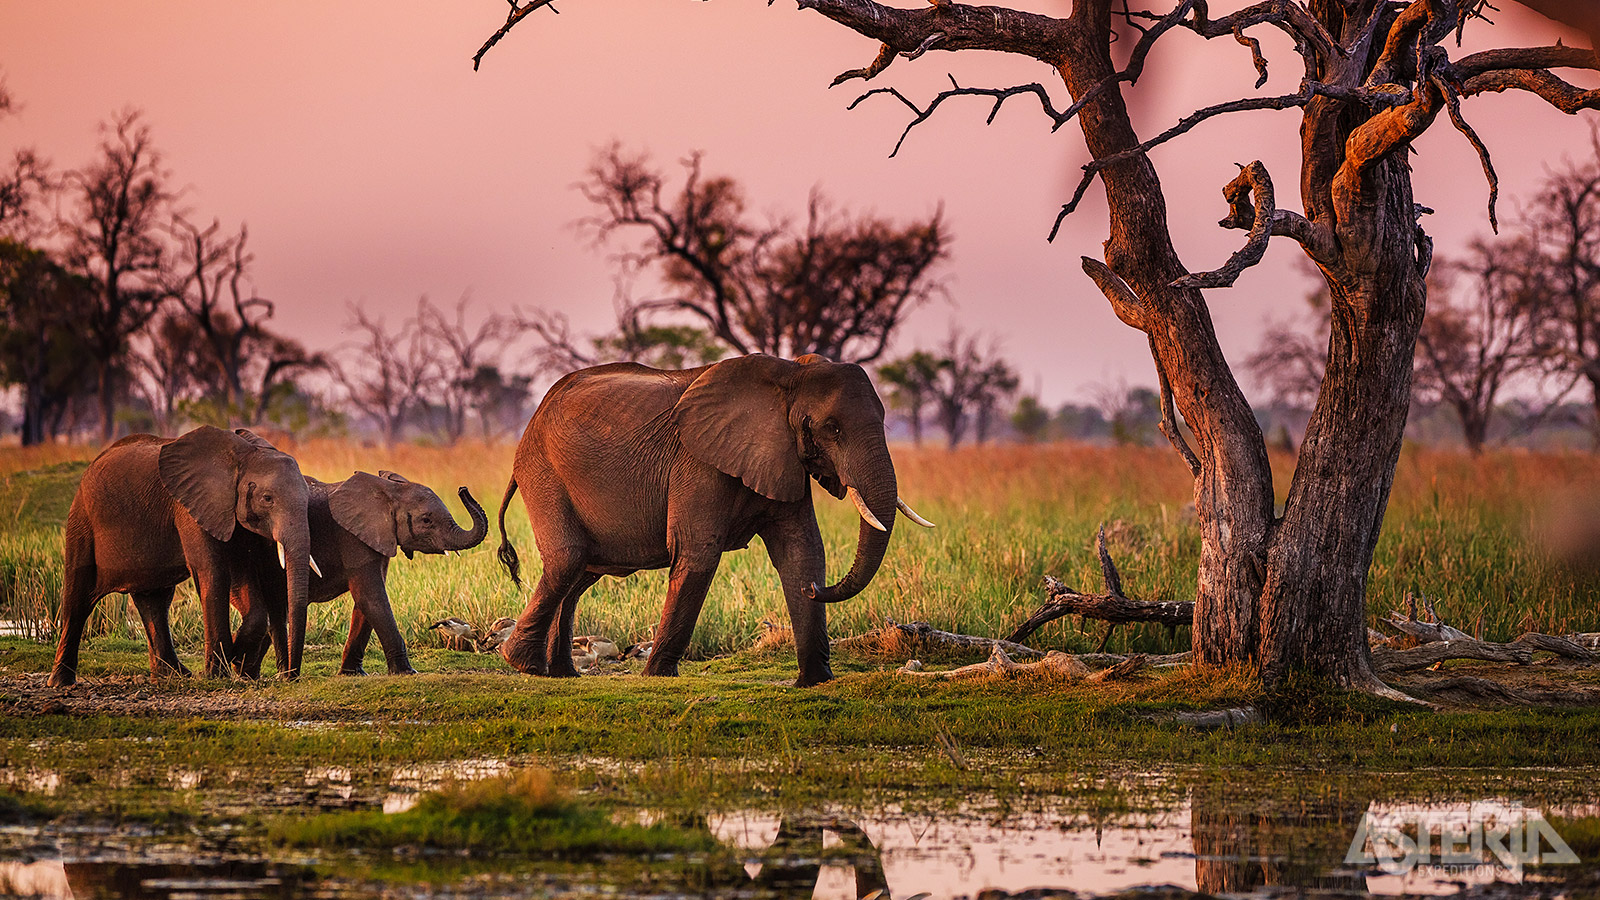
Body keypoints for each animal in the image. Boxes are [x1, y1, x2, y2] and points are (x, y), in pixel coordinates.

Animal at [47, 422, 312, 682]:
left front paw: (237, 658)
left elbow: (242, 576)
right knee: (78, 598)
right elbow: (213, 572)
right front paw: (218, 673)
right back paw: (61, 681)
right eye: (267, 498)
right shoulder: (188, 508)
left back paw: (172, 675)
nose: (290, 677)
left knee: (155, 602)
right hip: (82, 520)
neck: (243, 456)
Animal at [232, 470, 489, 672]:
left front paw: (351, 673)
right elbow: (371, 597)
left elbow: (366, 602)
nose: (463, 488)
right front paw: (408, 672)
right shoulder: (351, 538)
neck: (388, 491)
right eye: (426, 520)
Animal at [492, 352, 934, 685]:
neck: (790, 373)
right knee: (568, 560)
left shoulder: (782, 456)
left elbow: (801, 551)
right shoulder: (698, 462)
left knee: (581, 572)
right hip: (544, 473)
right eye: (832, 428)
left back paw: (560, 674)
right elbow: (698, 555)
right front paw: (658, 676)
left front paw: (814, 681)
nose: (815, 591)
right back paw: (523, 664)